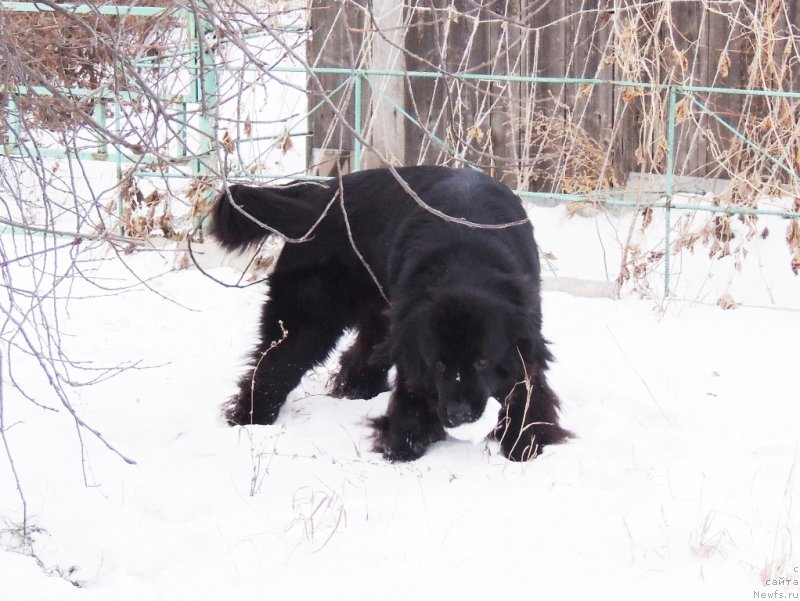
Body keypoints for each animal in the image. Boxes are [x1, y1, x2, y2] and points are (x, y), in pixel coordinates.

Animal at [209, 166, 572, 462]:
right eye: (439, 364)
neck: (466, 261)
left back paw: (357, 390)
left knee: (361, 353)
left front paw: (526, 441)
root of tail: (322, 193)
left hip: (382, 311)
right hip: (311, 316)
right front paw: (405, 439)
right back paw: (251, 420)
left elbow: (526, 387)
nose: (457, 415)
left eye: (482, 361)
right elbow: (413, 390)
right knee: (274, 364)